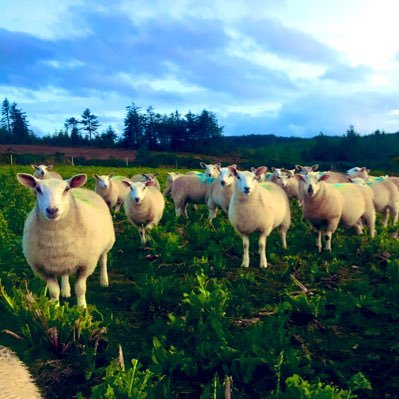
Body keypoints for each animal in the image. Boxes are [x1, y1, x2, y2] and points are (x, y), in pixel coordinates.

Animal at [16, 173, 115, 308]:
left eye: (66, 189)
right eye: (38, 189)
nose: (52, 210)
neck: (56, 238)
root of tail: (82, 189)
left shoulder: (86, 265)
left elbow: (80, 288)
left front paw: (82, 308)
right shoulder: (45, 269)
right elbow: (53, 292)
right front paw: (55, 308)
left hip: (106, 244)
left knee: (103, 260)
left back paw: (104, 281)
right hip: (64, 258)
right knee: (64, 273)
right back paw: (65, 291)